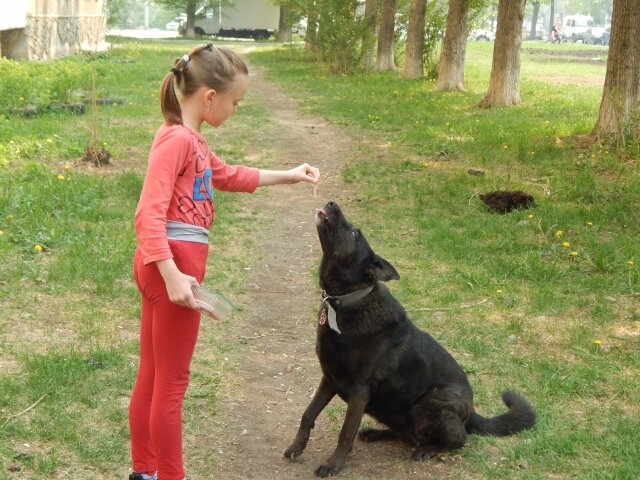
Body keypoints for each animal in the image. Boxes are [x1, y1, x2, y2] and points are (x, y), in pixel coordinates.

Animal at [284, 200, 536, 476]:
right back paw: (376, 433)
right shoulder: (329, 378)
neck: (347, 301)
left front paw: (333, 465)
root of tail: (471, 413)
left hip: (432, 405)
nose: (331, 203)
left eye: (353, 233)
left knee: (458, 441)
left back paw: (428, 450)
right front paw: (297, 447)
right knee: (408, 435)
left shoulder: (359, 390)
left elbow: (345, 433)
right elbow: (308, 415)